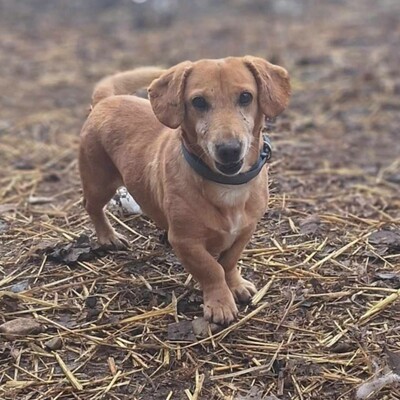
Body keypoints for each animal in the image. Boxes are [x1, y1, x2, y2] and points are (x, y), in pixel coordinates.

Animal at [79, 56, 290, 324]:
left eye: (246, 97)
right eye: (198, 101)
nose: (229, 150)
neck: (226, 185)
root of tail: (105, 100)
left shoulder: (246, 230)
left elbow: (228, 262)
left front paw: (236, 285)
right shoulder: (186, 242)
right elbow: (211, 270)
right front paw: (220, 303)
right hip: (99, 183)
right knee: (93, 208)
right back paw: (109, 236)